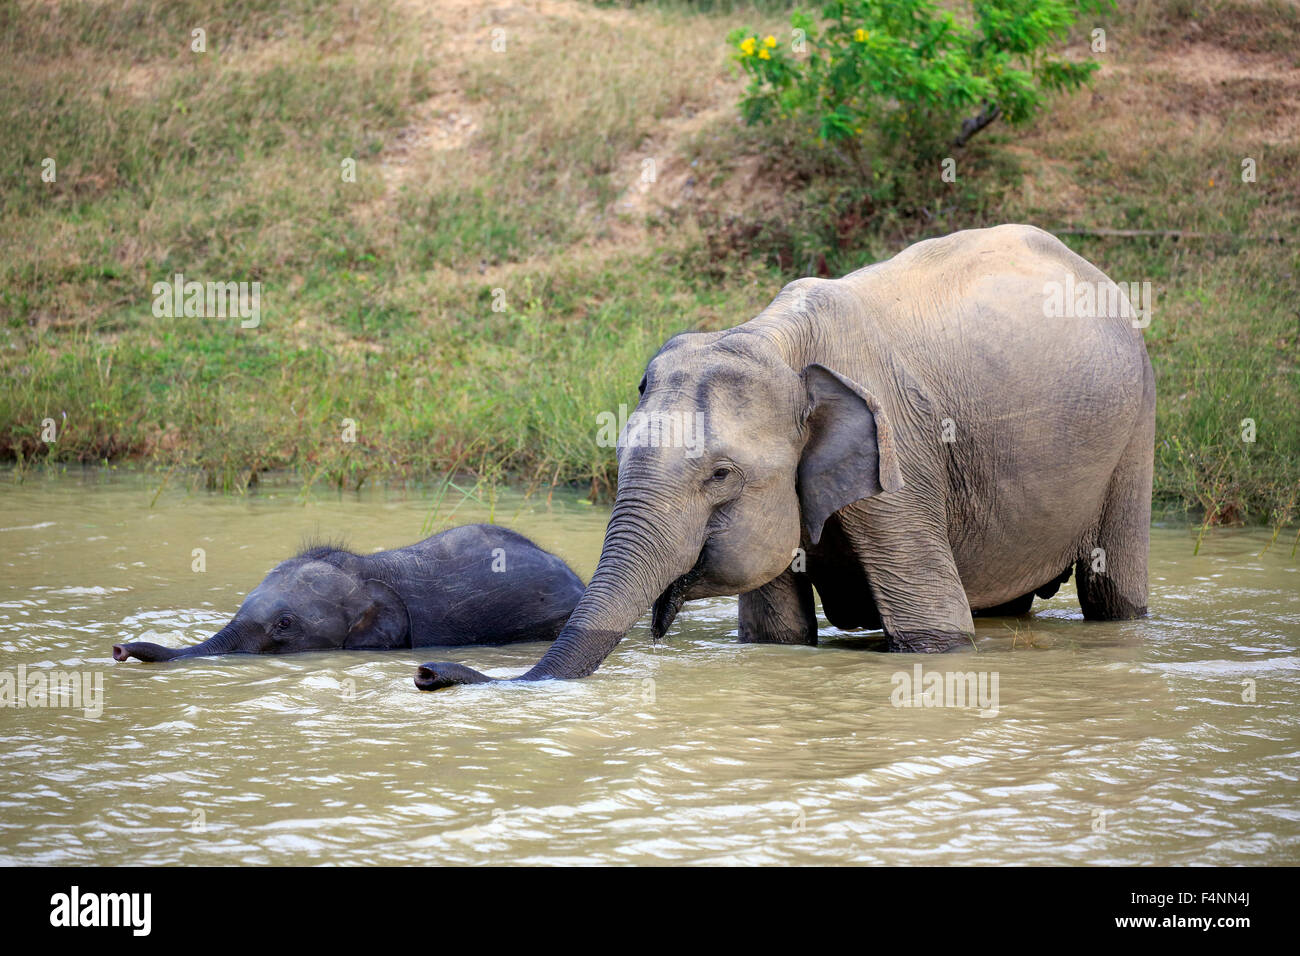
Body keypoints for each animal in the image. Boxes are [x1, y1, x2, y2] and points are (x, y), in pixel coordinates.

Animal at [418, 223, 1159, 686]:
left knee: (1112, 589)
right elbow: (776, 632)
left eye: (721, 475)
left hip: (1137, 425)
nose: (427, 673)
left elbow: (937, 630)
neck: (774, 338)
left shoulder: (903, 461)